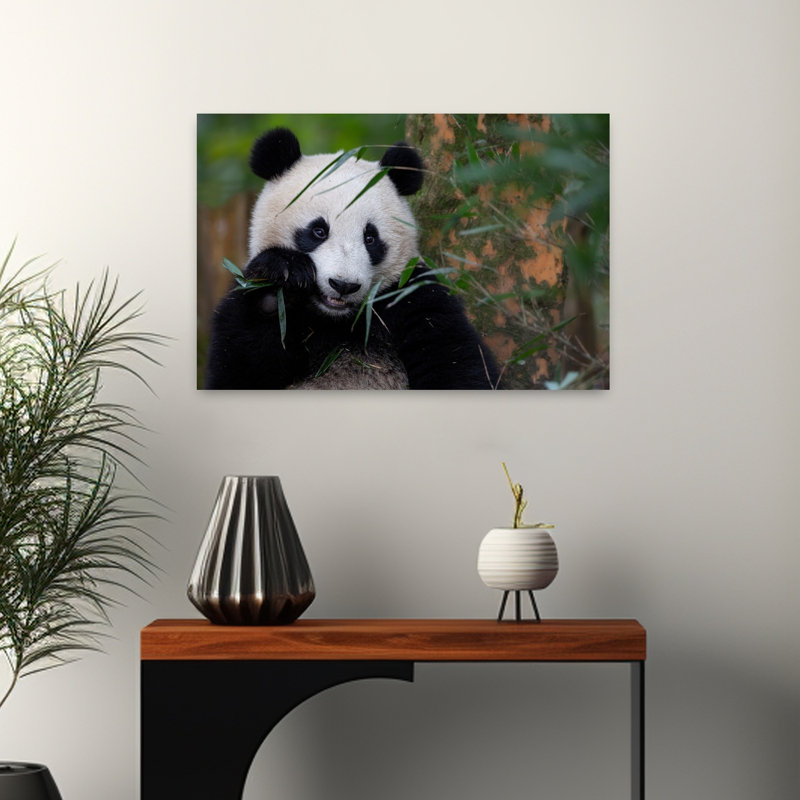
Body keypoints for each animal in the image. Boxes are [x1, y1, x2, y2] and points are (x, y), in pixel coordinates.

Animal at [204, 127, 500, 390]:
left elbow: (457, 364)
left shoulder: (413, 297)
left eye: (370, 238)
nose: (343, 285)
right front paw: (281, 277)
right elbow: (239, 368)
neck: (337, 318)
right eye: (318, 231)